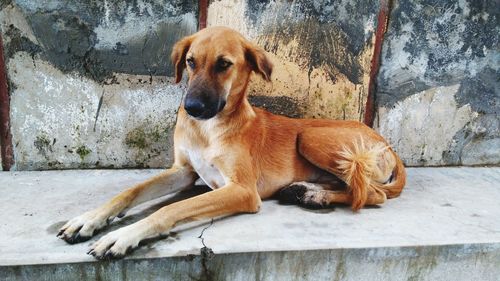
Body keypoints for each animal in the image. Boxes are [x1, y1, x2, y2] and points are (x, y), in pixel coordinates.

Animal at [56, 26, 404, 258]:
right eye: (191, 61)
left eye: (224, 64)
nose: (192, 108)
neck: (208, 129)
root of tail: (387, 144)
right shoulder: (184, 171)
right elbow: (130, 192)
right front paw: (88, 219)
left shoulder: (242, 190)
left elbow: (170, 209)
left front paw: (123, 235)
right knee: (353, 186)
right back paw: (307, 192)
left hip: (312, 136)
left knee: (372, 194)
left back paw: (315, 195)